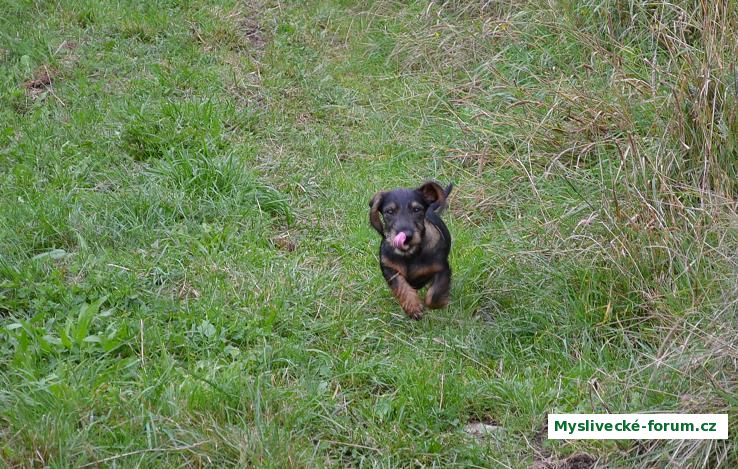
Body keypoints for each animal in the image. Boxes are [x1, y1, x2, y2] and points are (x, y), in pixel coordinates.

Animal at [369, 181, 453, 319]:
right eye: (389, 211)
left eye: (416, 210)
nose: (406, 236)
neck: (410, 254)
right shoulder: (389, 269)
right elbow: (400, 286)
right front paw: (413, 306)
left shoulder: (442, 269)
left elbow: (434, 295)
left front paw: (441, 302)